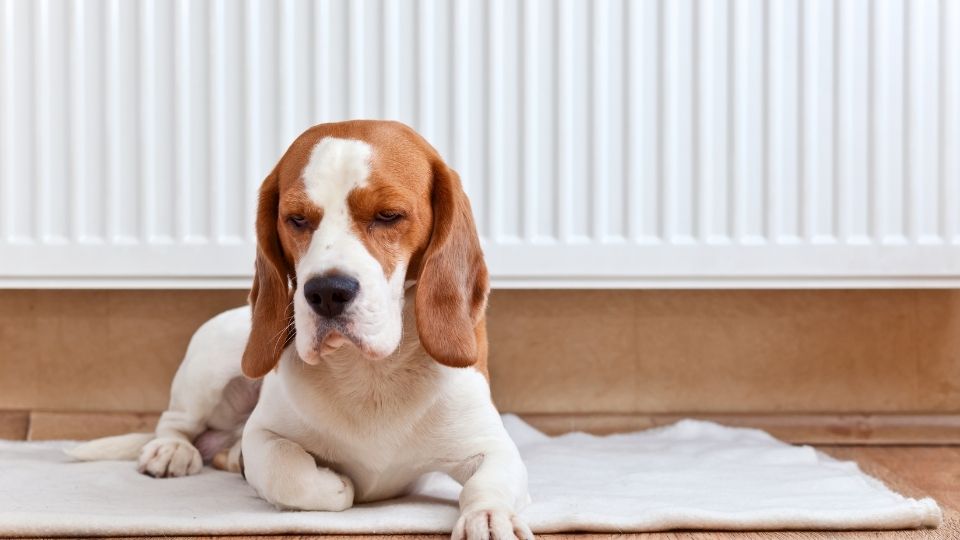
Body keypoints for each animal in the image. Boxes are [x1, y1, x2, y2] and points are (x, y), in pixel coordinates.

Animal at [67, 120, 532, 536]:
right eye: (296, 219)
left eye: (388, 215)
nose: (326, 292)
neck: (371, 377)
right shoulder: (264, 436)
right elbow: (292, 474)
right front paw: (335, 483)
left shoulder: (493, 445)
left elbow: (488, 482)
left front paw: (489, 518)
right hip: (212, 362)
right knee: (175, 421)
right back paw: (172, 450)